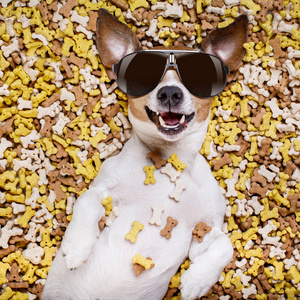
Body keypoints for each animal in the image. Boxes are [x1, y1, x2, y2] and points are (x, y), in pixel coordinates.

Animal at [42, 9, 248, 300]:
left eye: (198, 77)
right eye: (143, 76)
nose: (170, 92)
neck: (169, 158)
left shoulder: (205, 229)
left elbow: (225, 244)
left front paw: (196, 280)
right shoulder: (103, 187)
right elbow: (87, 200)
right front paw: (77, 245)